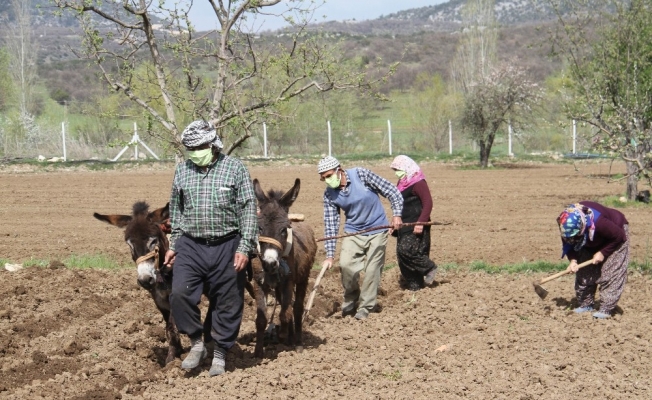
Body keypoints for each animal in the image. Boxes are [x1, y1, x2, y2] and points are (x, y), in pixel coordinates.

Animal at [252, 178, 317, 358]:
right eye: (259, 227)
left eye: (284, 229)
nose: (269, 263)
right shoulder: (259, 283)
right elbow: (261, 319)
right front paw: (258, 352)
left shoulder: (288, 282)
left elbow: (285, 314)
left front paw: (282, 335)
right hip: (278, 286)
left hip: (302, 279)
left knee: (296, 308)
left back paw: (297, 341)